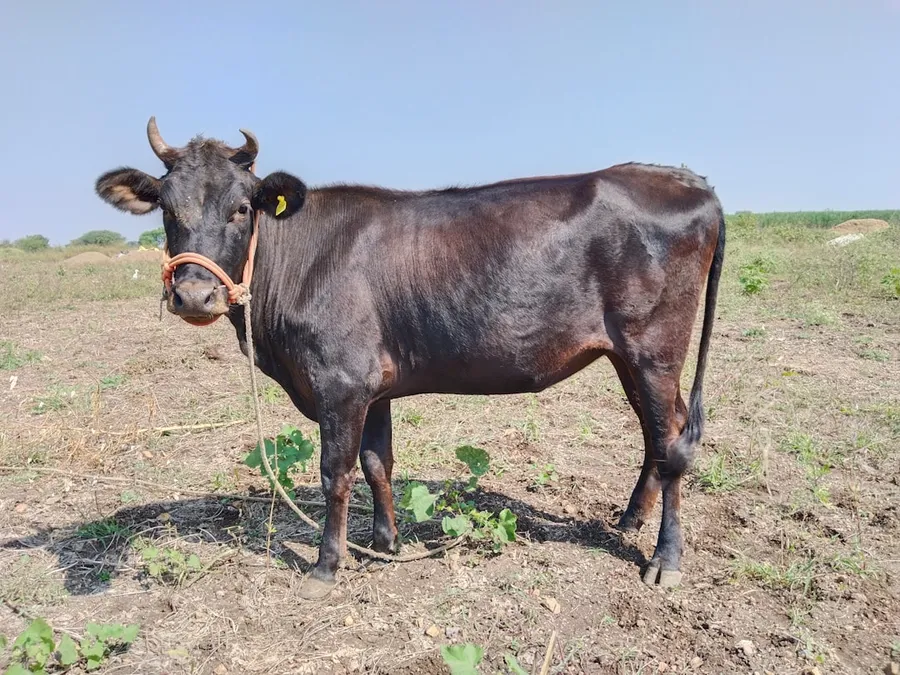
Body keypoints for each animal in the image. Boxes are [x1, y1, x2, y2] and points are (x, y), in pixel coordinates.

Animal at [95, 118, 725, 599]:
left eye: (242, 208)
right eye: (167, 209)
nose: (194, 296)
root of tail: (684, 178)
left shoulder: (339, 381)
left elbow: (336, 472)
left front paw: (327, 565)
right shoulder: (373, 386)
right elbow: (378, 463)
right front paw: (383, 543)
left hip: (654, 348)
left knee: (671, 443)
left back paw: (664, 559)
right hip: (630, 357)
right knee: (658, 435)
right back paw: (629, 519)